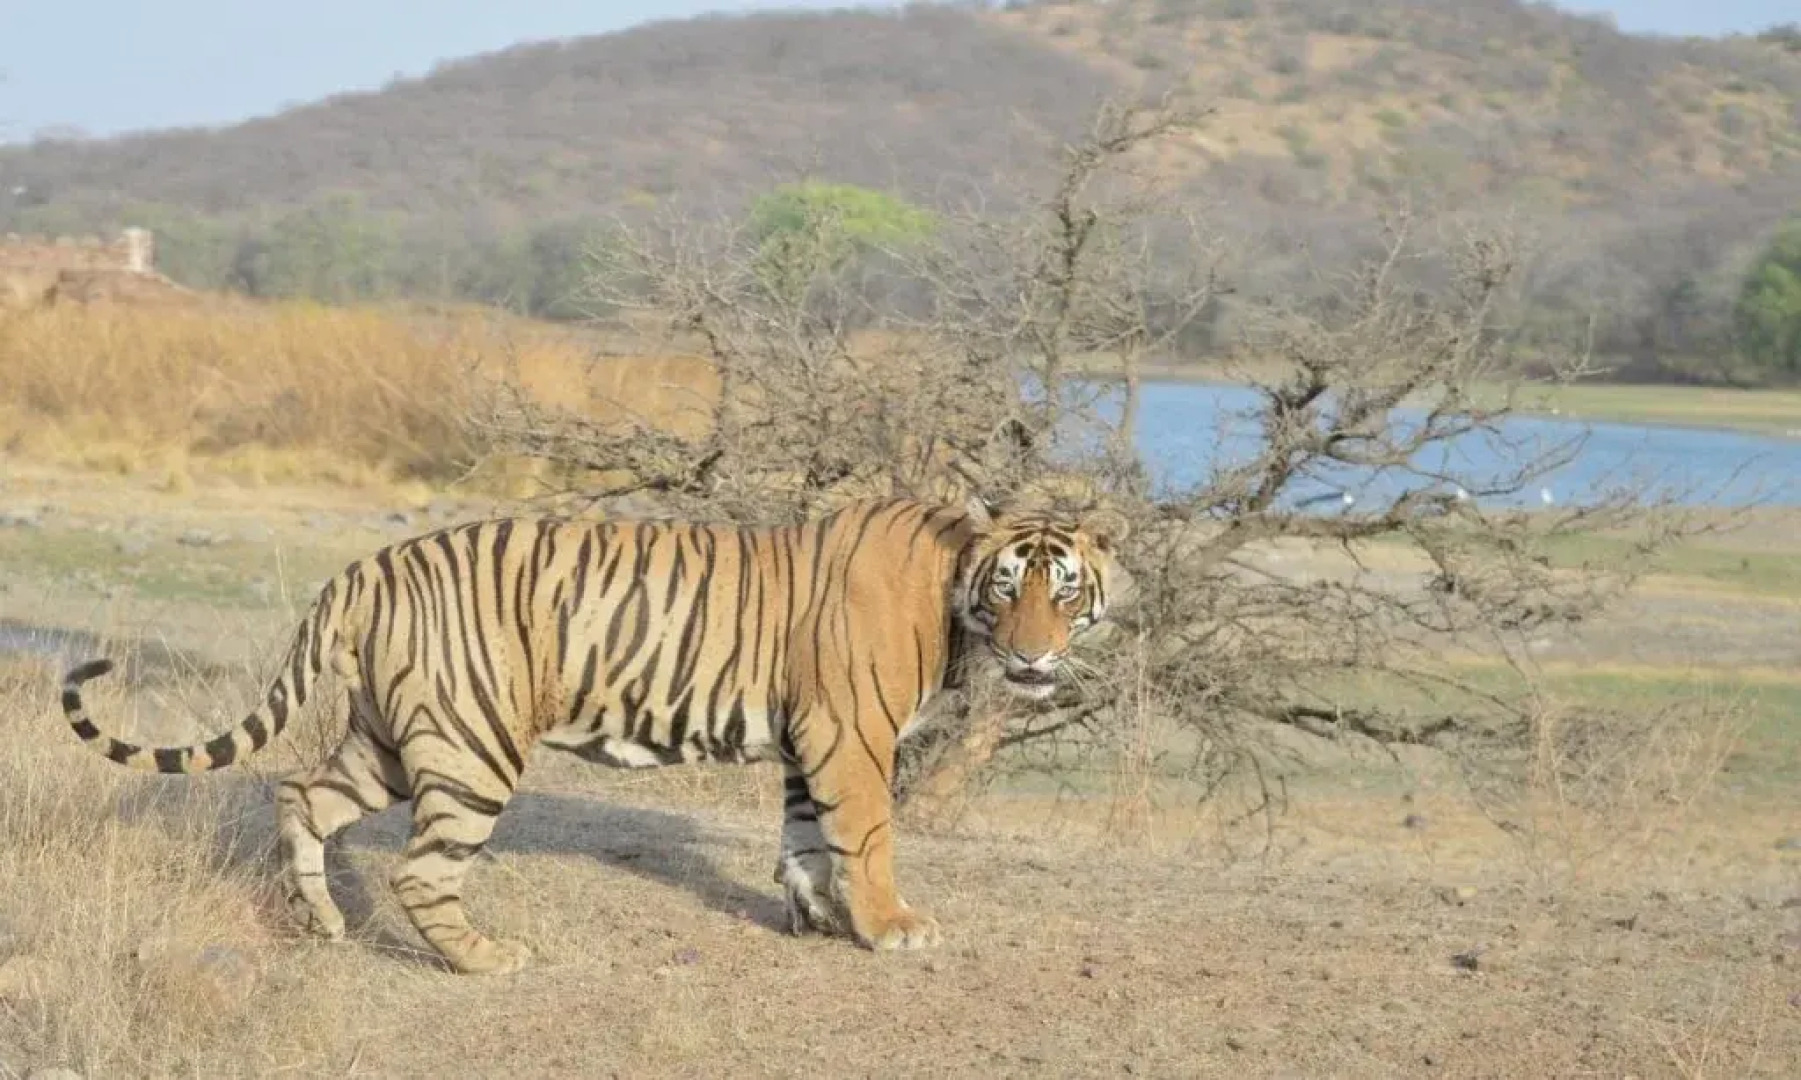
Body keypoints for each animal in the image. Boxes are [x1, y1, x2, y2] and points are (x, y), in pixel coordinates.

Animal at [58, 495, 1122, 975]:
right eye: (1008, 588)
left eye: (1063, 592)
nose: (1034, 653)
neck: (951, 588)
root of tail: (364, 566)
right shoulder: (849, 734)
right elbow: (865, 837)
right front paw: (891, 926)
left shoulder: (803, 742)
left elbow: (806, 838)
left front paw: (819, 917)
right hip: (473, 743)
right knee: (421, 870)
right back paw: (485, 958)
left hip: (387, 743)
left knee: (298, 794)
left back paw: (321, 920)